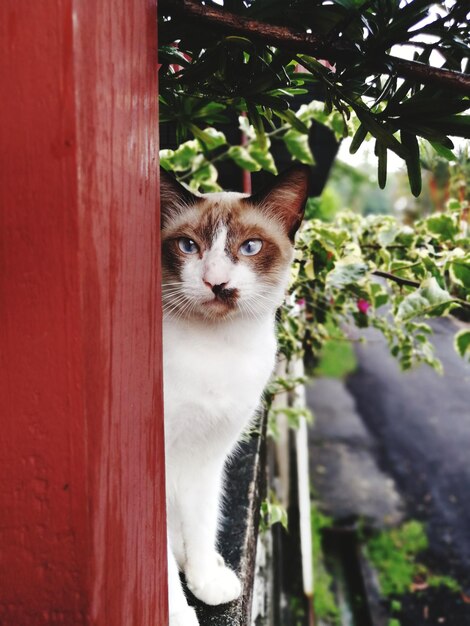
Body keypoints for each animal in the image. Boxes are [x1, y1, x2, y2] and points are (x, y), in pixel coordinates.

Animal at [160, 163, 310, 620]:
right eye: (188, 246)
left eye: (251, 247)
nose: (216, 283)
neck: (218, 348)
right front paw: (177, 615)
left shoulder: (206, 456)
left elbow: (202, 521)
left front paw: (206, 581)